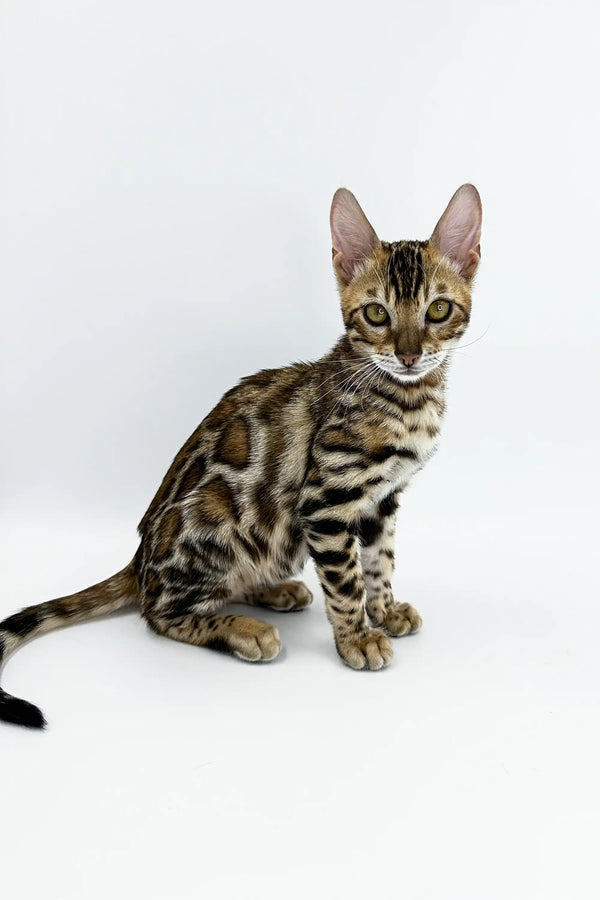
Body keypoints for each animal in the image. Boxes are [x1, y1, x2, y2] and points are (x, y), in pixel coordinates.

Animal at [0, 183, 482, 724]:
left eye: (437, 310)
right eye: (377, 313)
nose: (408, 355)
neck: (407, 398)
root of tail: (139, 561)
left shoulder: (383, 497)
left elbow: (381, 560)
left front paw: (384, 609)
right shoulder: (327, 499)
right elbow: (346, 580)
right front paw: (357, 637)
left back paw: (274, 590)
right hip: (217, 523)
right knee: (159, 613)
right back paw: (242, 629)